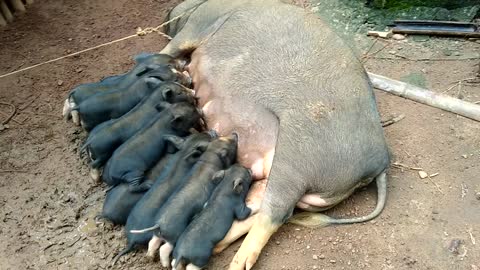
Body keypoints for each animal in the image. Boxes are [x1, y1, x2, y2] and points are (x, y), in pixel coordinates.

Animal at [159, 1, 388, 268]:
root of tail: (381, 161)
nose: (169, 13)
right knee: (257, 206)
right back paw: (212, 247)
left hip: (297, 157)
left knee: (274, 212)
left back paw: (235, 262)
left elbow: (170, 49)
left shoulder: (195, 27)